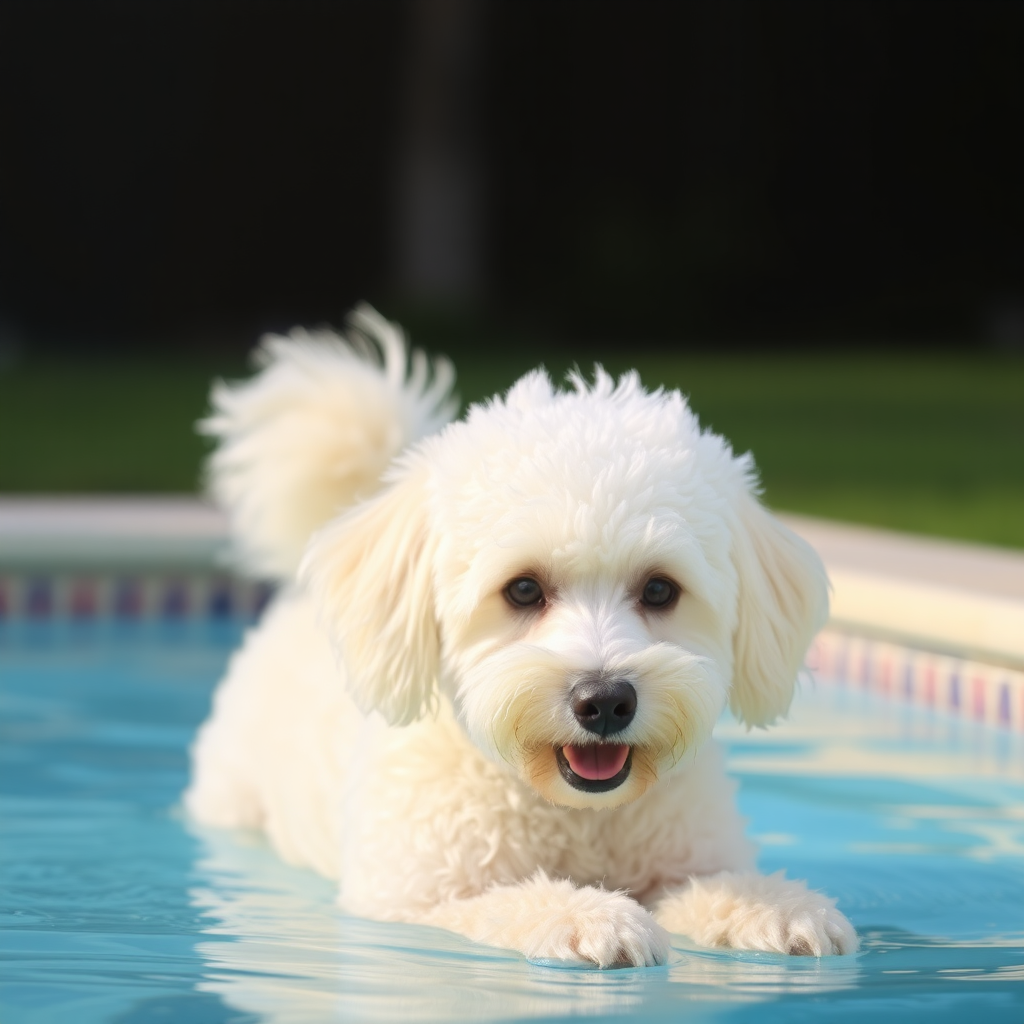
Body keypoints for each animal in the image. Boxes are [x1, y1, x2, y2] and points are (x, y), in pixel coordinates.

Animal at [184, 303, 856, 966]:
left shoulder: (685, 858)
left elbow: (709, 885)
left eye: (661, 590)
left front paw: (773, 906)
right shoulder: (416, 898)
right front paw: (588, 915)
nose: (604, 701)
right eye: (524, 590)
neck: (574, 813)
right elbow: (509, 900)